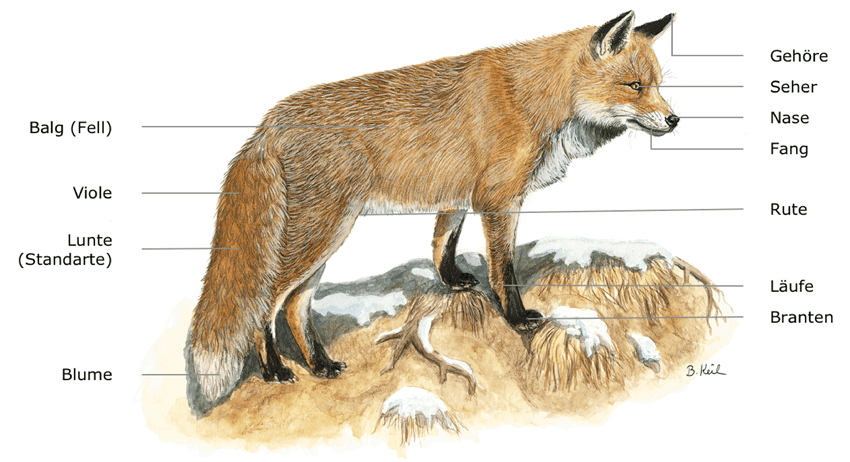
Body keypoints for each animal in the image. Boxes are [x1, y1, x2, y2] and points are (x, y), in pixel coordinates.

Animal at [186, 10, 678, 415]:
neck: (538, 96)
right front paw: (517, 317)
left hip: (323, 238)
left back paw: (321, 364)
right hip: (320, 232)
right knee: (265, 305)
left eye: (658, 86)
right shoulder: (499, 199)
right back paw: (274, 369)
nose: (675, 120)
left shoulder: (458, 196)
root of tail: (267, 123)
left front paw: (454, 281)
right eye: (635, 87)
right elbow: (504, 267)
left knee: (294, 307)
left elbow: (444, 241)